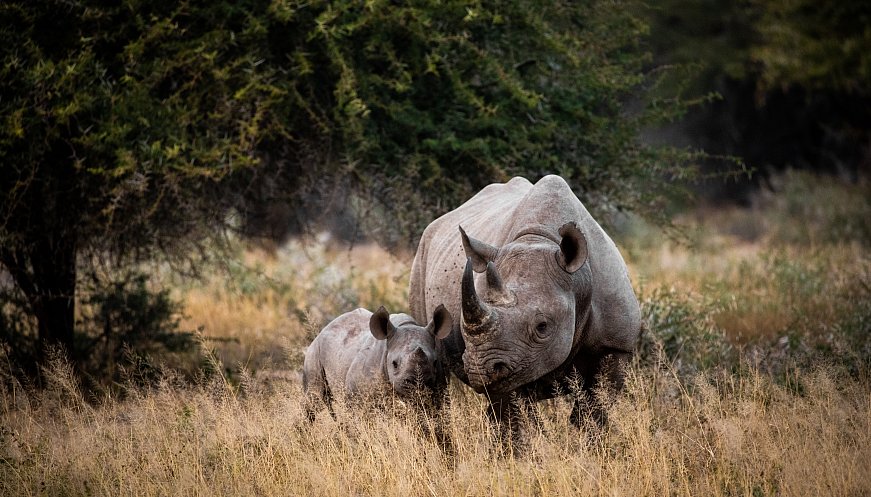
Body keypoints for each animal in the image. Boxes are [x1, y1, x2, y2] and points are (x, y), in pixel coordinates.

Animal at [303, 305, 452, 419]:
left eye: (435, 362)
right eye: (394, 364)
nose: (417, 384)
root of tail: (324, 328)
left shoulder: (439, 392)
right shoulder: (356, 397)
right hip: (314, 352)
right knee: (313, 401)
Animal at [409, 175, 641, 430]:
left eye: (542, 327)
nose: (481, 369)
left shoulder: (616, 345)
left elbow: (593, 411)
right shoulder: (511, 358)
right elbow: (515, 417)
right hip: (421, 257)